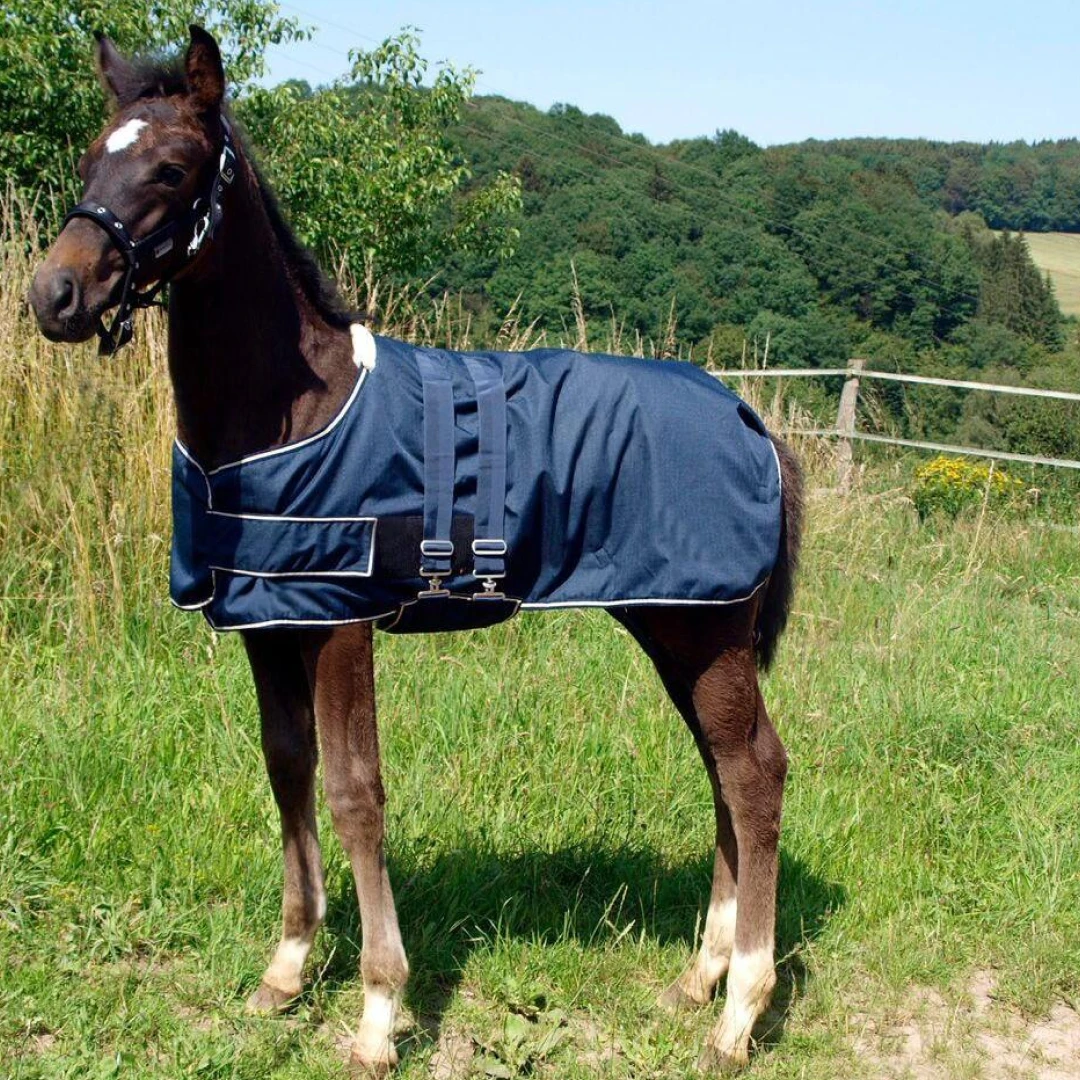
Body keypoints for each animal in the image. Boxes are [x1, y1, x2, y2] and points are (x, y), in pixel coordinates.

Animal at [29, 27, 804, 1074]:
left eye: (174, 168)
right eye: (87, 160)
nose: (55, 294)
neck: (291, 409)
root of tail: (749, 416)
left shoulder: (341, 622)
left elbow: (357, 792)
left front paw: (377, 1013)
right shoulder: (267, 621)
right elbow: (288, 768)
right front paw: (286, 970)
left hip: (706, 634)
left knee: (754, 774)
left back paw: (739, 1013)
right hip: (675, 629)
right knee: (722, 771)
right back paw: (699, 980)